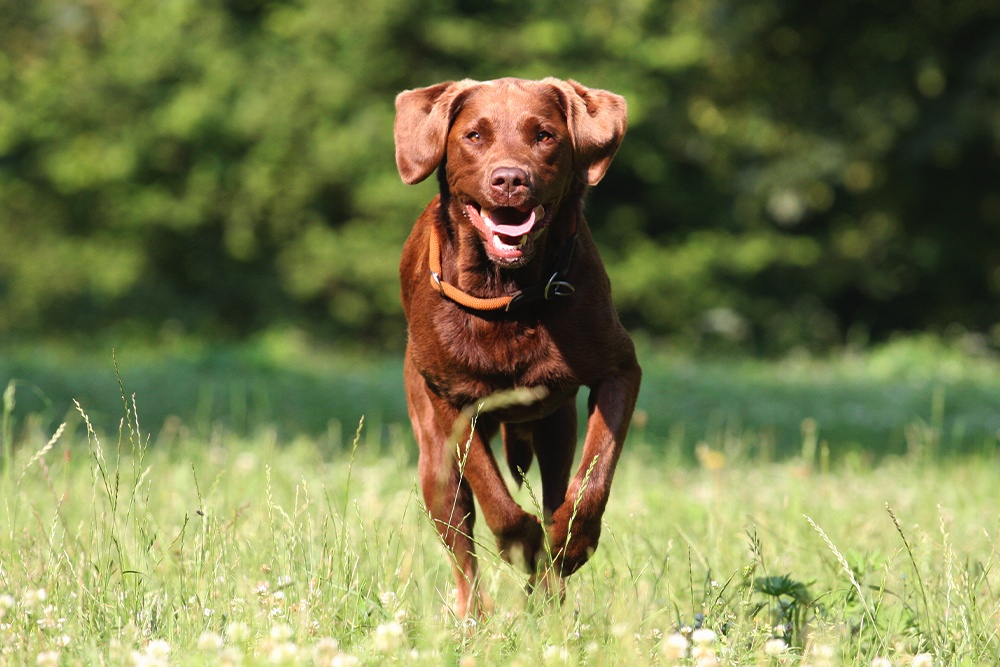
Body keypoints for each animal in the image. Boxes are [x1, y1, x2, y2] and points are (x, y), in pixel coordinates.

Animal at [392, 77, 640, 616]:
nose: (509, 179)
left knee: (556, 489)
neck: (507, 294)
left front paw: (571, 545)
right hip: (433, 463)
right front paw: (524, 545)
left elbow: (595, 473)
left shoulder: (620, 369)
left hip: (555, 427)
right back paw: (477, 619)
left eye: (544, 135)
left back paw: (548, 588)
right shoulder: (451, 400)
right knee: (462, 548)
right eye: (474, 136)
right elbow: (493, 495)